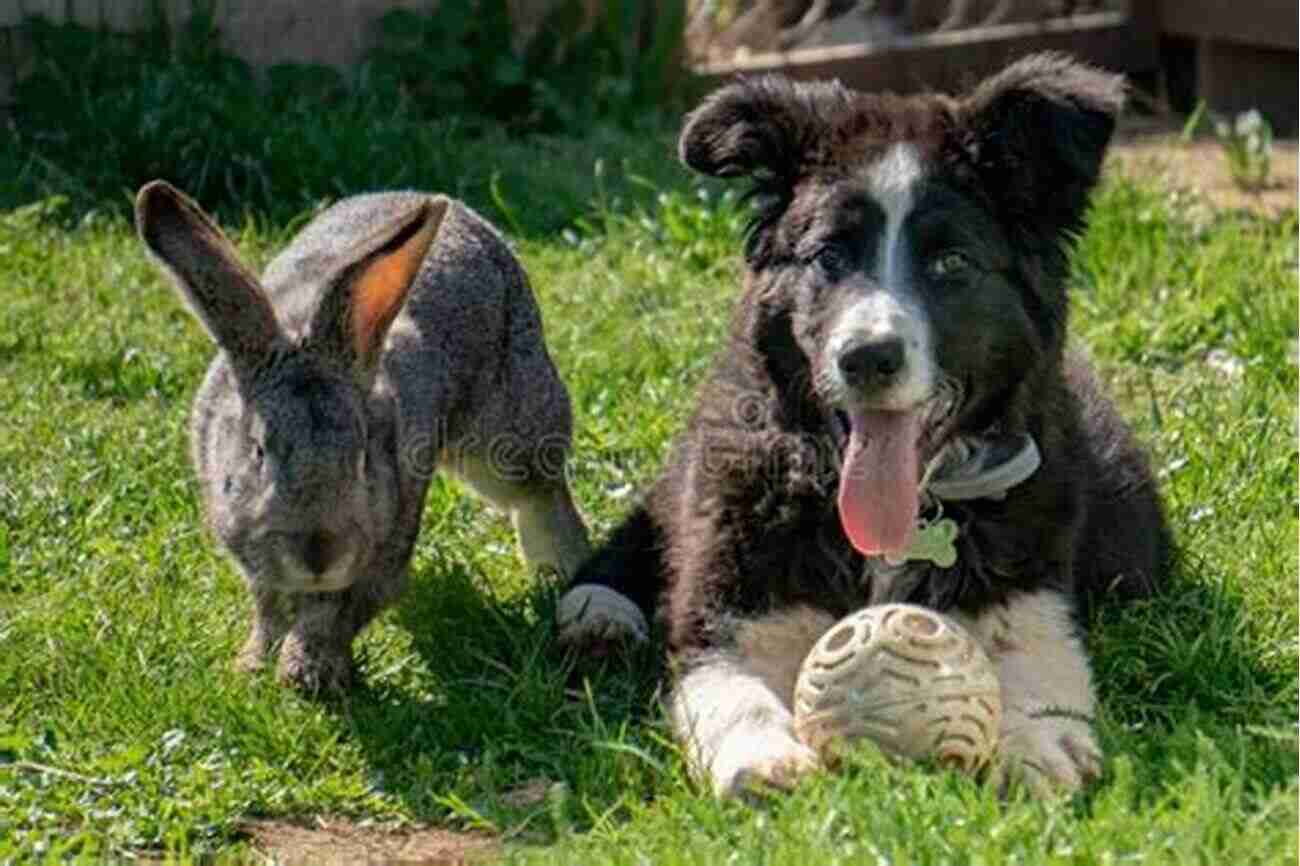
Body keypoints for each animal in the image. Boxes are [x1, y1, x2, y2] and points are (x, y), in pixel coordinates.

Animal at [134, 180, 592, 686]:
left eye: (361, 457)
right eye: (258, 451)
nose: (319, 554)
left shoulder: (384, 554)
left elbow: (336, 614)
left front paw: (306, 672)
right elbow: (269, 611)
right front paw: (252, 664)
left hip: (512, 436)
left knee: (540, 496)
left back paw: (568, 577)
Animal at [553, 53, 1175, 790]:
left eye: (950, 263)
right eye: (830, 256)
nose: (867, 357)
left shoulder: (1028, 578)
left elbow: (1041, 658)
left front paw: (1036, 746)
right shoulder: (731, 591)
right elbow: (728, 681)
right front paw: (761, 758)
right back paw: (599, 613)